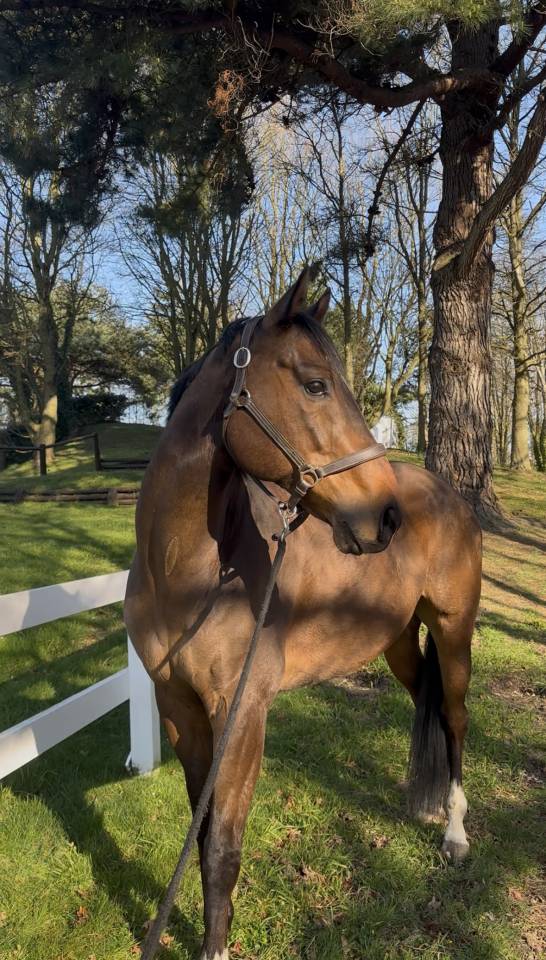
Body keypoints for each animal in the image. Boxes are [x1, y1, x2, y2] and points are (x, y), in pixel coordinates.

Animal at [124, 268, 482, 960]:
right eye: (316, 384)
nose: (386, 518)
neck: (189, 573)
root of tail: (447, 495)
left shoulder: (242, 714)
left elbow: (222, 849)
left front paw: (217, 946)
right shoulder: (178, 707)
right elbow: (201, 833)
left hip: (455, 633)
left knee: (453, 719)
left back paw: (454, 833)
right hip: (399, 644)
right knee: (425, 700)